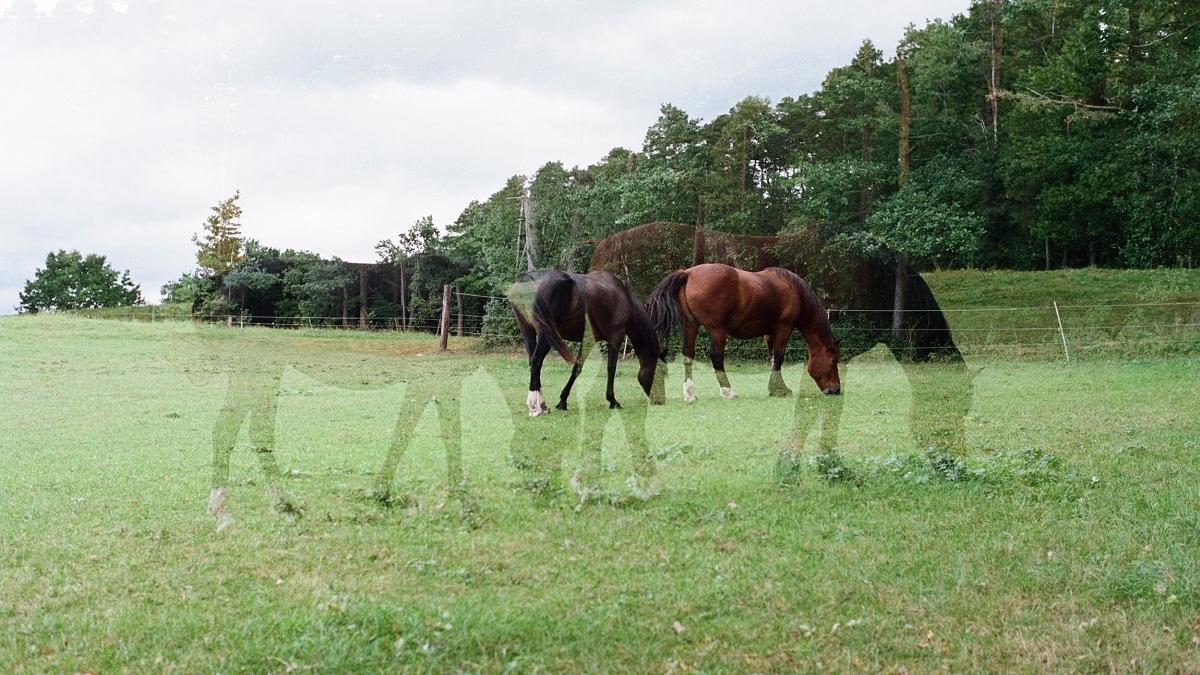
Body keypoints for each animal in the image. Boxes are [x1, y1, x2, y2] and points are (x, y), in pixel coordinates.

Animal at [508, 267, 667, 415]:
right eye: (661, 373)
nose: (660, 401)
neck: (625, 299)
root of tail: (527, 278)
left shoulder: (589, 341)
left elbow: (577, 368)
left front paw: (563, 401)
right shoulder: (616, 337)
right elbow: (611, 368)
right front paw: (612, 400)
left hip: (528, 332)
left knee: (533, 363)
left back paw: (543, 405)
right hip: (545, 335)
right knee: (536, 362)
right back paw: (535, 408)